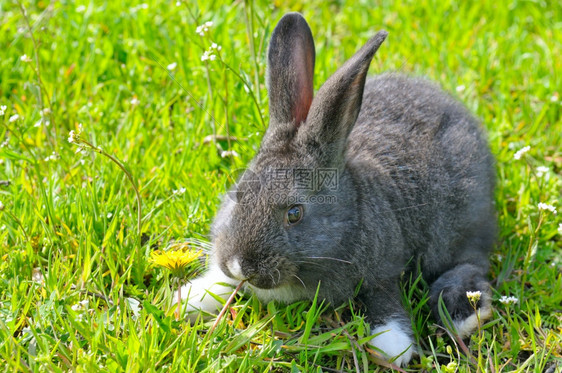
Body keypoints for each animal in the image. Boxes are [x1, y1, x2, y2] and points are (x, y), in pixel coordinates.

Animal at [180, 12, 494, 366]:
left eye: (294, 213)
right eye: (238, 195)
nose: (240, 265)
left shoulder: (384, 269)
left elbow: (384, 300)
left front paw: (391, 346)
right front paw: (190, 297)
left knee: (471, 262)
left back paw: (461, 312)